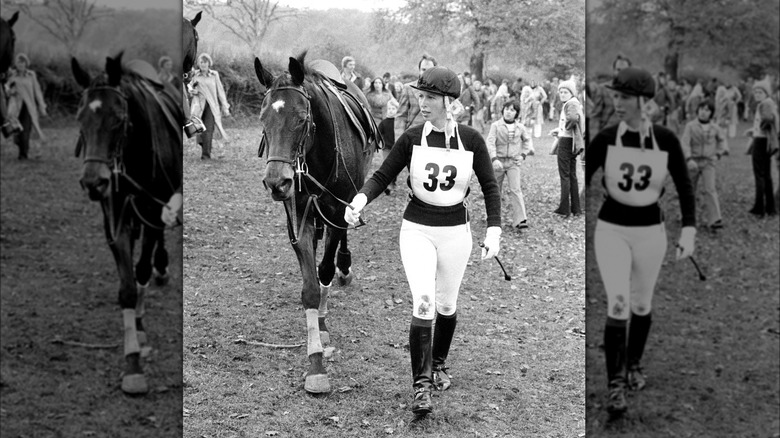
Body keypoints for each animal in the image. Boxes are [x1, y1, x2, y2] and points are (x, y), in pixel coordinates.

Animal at [71, 53, 184, 396]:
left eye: (118, 119)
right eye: (80, 118)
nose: (93, 182)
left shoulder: (154, 210)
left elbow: (142, 270)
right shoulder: (116, 220)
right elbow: (127, 288)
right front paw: (132, 362)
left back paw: (161, 268)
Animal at [254, 52, 380, 394]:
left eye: (301, 118)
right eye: (263, 119)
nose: (276, 182)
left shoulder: (337, 211)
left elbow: (323, 270)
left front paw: (322, 323)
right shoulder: (298, 218)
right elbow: (310, 286)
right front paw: (315, 363)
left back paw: (345, 266)